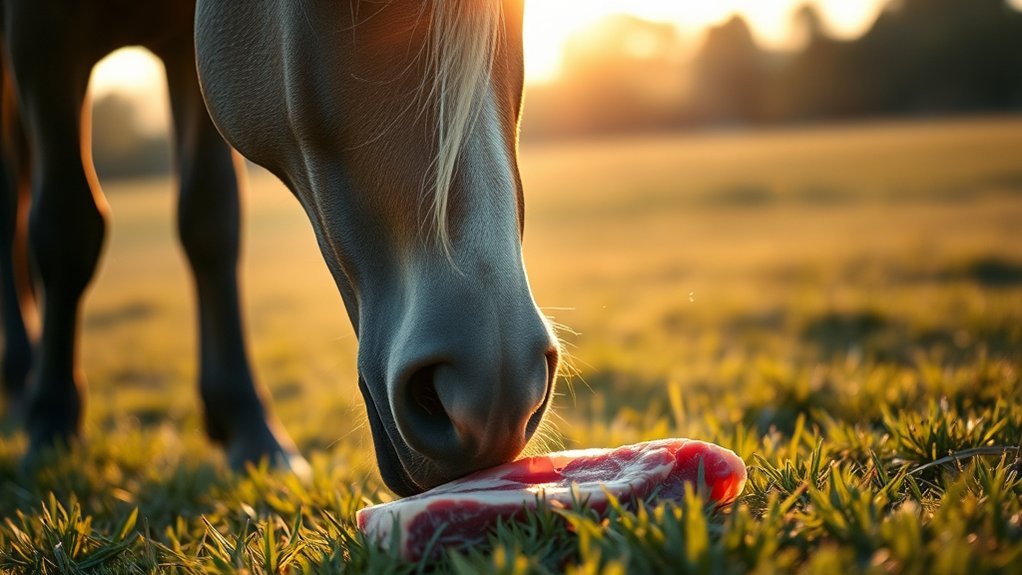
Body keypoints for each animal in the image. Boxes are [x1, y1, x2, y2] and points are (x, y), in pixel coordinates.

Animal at [0, 0, 559, 496]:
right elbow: (67, 227)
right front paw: (51, 426)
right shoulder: (40, 36)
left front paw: (248, 425)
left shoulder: (187, 46)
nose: (496, 394)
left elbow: (211, 219)